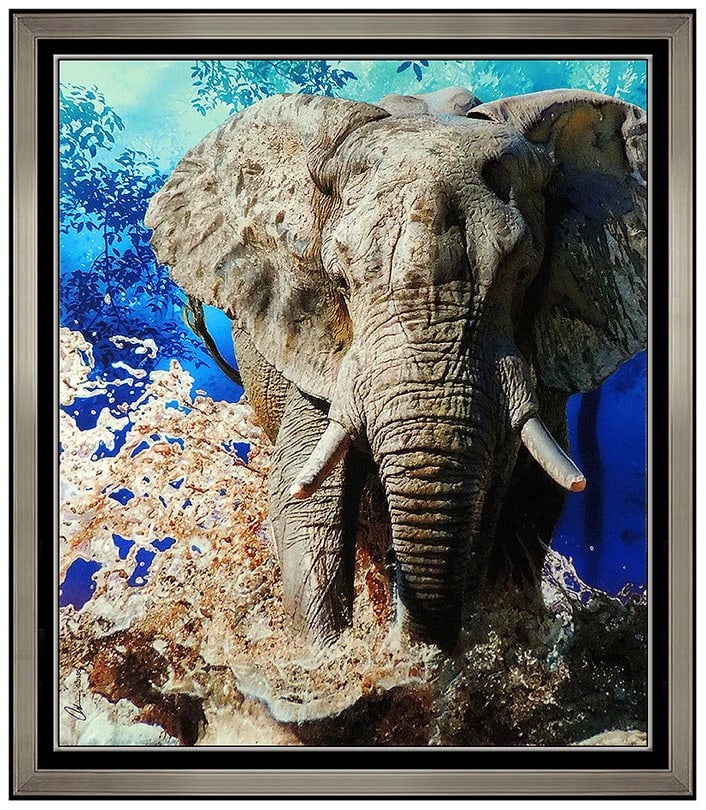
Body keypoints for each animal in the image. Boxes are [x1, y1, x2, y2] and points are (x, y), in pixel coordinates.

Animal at [145, 85, 646, 653]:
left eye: (523, 273)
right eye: (338, 278)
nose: (409, 645)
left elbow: (517, 493)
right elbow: (303, 495)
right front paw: (327, 662)